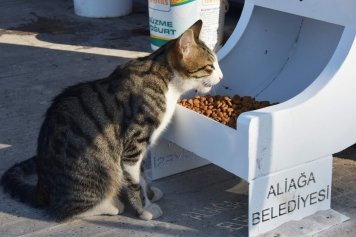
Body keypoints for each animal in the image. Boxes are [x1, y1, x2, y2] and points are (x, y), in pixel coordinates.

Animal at [0, 20, 222, 222]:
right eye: (210, 66)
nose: (221, 77)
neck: (163, 80)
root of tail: (42, 188)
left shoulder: (141, 150)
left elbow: (142, 177)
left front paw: (150, 195)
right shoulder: (132, 147)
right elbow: (135, 184)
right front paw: (145, 209)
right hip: (100, 175)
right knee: (63, 212)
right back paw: (110, 205)